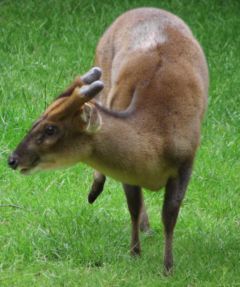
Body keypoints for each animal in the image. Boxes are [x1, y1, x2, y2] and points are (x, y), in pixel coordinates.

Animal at [8, 7, 208, 274]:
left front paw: (167, 266)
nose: (12, 159)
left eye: (50, 129)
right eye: (35, 121)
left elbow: (170, 213)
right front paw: (134, 252)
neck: (158, 134)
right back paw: (96, 194)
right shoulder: (129, 169)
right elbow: (133, 205)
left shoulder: (187, 160)